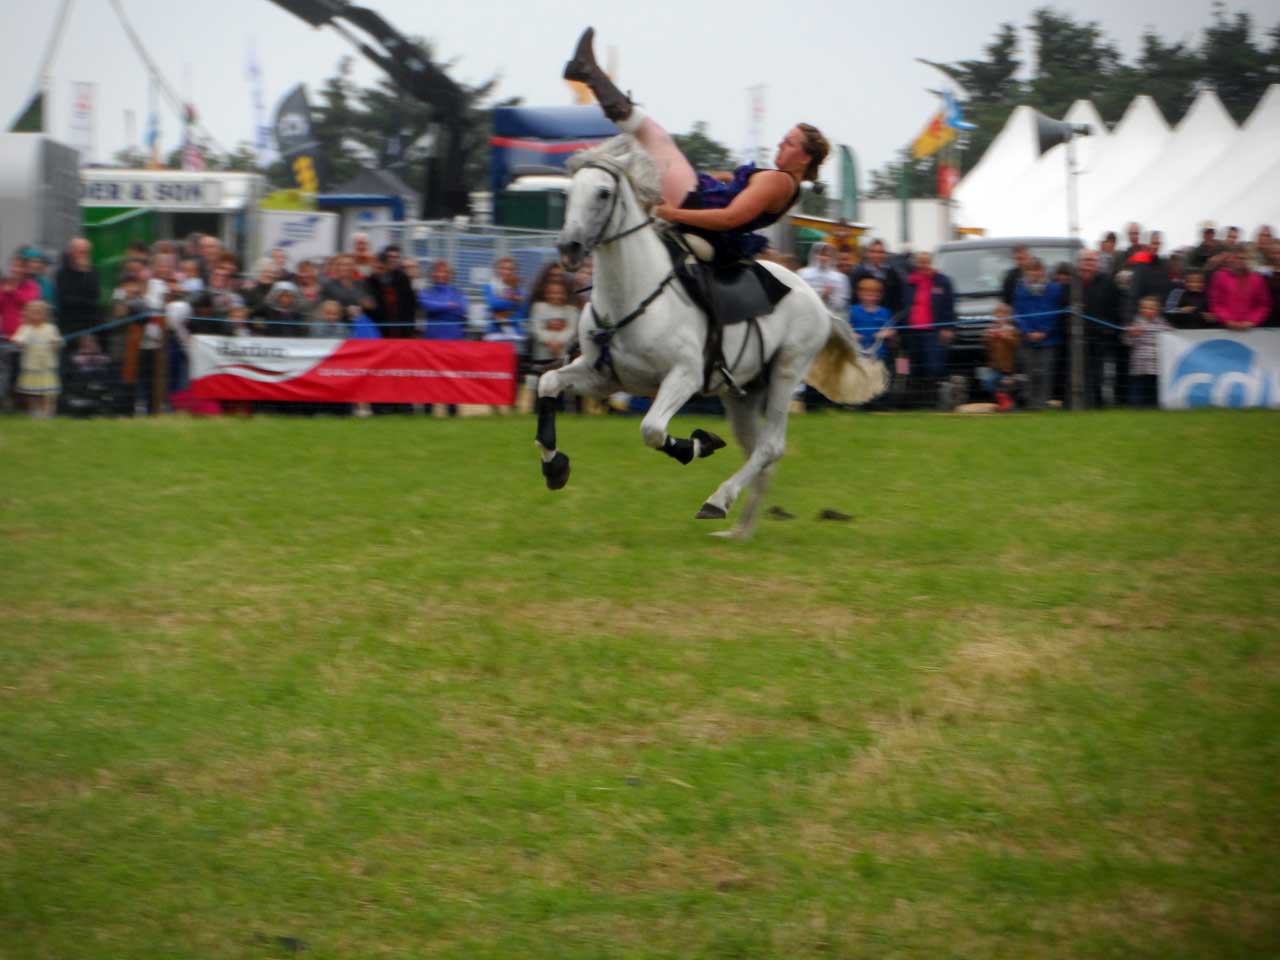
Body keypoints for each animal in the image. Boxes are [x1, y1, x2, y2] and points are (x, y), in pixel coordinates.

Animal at [535, 135, 885, 542]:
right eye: (569, 191)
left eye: (604, 193)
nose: (569, 249)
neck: (634, 293)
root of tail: (819, 302)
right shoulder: (602, 376)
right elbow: (547, 383)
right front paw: (554, 467)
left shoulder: (683, 376)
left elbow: (652, 430)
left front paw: (699, 444)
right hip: (742, 394)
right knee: (757, 454)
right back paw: (740, 531)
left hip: (786, 372)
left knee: (770, 447)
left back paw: (718, 502)